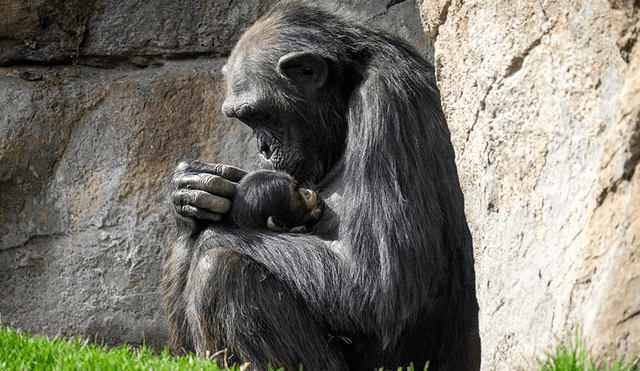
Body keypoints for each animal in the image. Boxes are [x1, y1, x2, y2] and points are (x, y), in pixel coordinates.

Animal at [162, 1, 478, 370]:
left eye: (263, 115)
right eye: (245, 119)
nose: (262, 147)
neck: (346, 95)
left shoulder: (389, 103)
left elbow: (379, 286)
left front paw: (215, 229)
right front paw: (192, 194)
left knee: (221, 270)